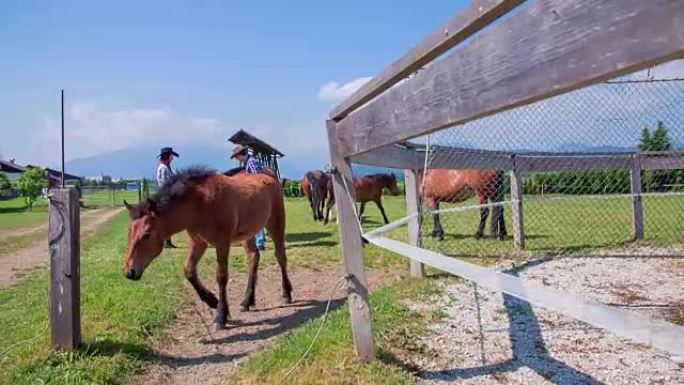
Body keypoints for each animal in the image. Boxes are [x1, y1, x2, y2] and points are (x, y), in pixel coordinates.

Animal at [123, 165, 292, 328]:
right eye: (129, 232)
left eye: (147, 234)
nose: (129, 271)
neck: (200, 203)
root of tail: (269, 173)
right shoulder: (198, 242)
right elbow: (189, 271)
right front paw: (213, 301)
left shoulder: (222, 242)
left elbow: (221, 276)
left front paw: (221, 316)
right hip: (248, 233)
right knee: (253, 257)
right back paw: (247, 301)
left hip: (276, 224)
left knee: (280, 255)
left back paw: (286, 294)